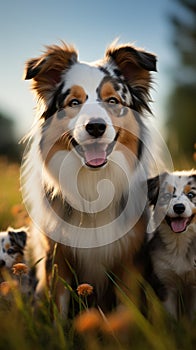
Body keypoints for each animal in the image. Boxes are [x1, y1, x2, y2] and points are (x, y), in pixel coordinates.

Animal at [22, 39, 158, 316]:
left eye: (113, 100)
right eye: (74, 103)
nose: (95, 127)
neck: (94, 184)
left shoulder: (129, 259)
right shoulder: (57, 257)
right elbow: (59, 310)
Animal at [148, 170, 196, 320]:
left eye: (191, 195)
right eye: (166, 196)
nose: (179, 207)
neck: (179, 242)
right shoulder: (165, 282)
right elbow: (171, 318)